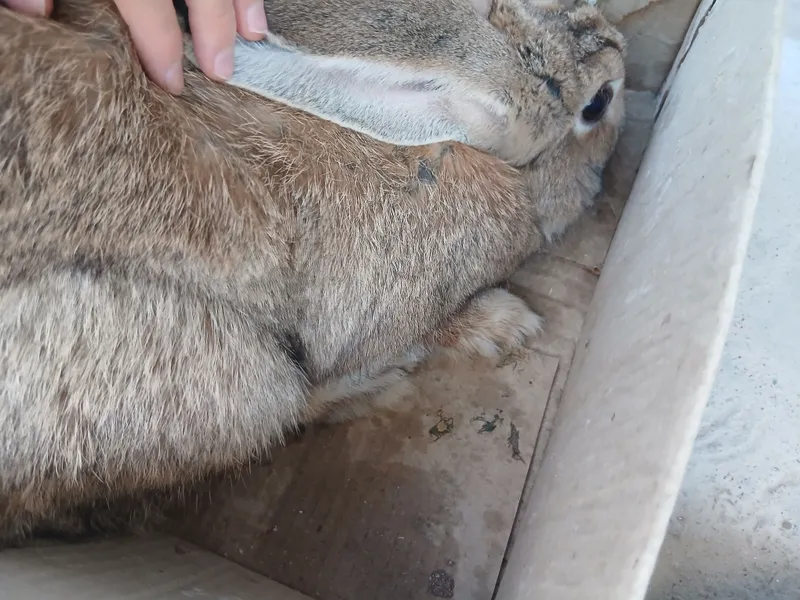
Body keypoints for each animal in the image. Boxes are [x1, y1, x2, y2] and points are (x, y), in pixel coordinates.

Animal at [0, 0, 625, 543]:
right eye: (598, 104)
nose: (619, 45)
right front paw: (505, 324)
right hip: (232, 379)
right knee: (293, 407)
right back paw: (381, 382)